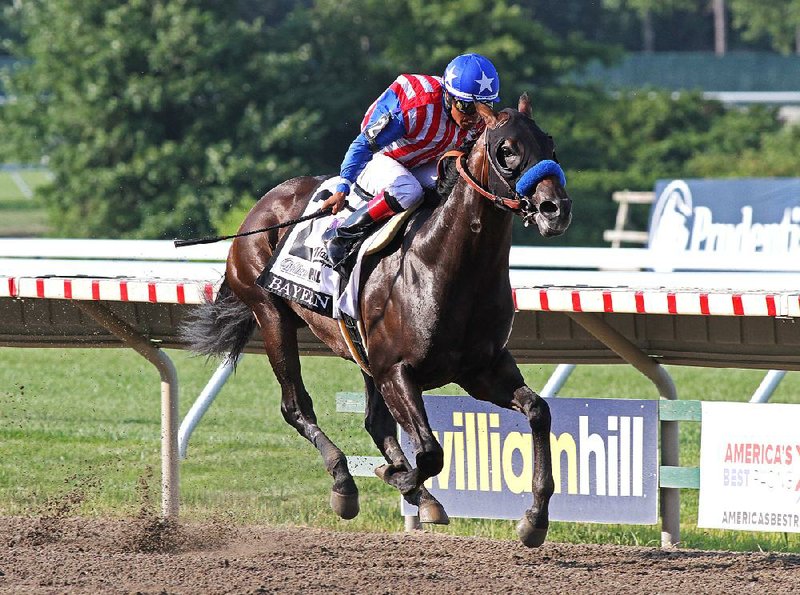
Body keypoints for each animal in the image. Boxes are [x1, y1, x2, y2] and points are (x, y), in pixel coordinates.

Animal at [183, 95, 568, 548]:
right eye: (506, 149)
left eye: (549, 142)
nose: (556, 209)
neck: (445, 265)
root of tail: (262, 207)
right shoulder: (396, 371)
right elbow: (431, 452)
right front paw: (396, 477)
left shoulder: (481, 369)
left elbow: (538, 411)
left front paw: (534, 518)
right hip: (272, 315)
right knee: (296, 406)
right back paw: (344, 482)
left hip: (361, 351)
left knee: (375, 422)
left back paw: (416, 493)